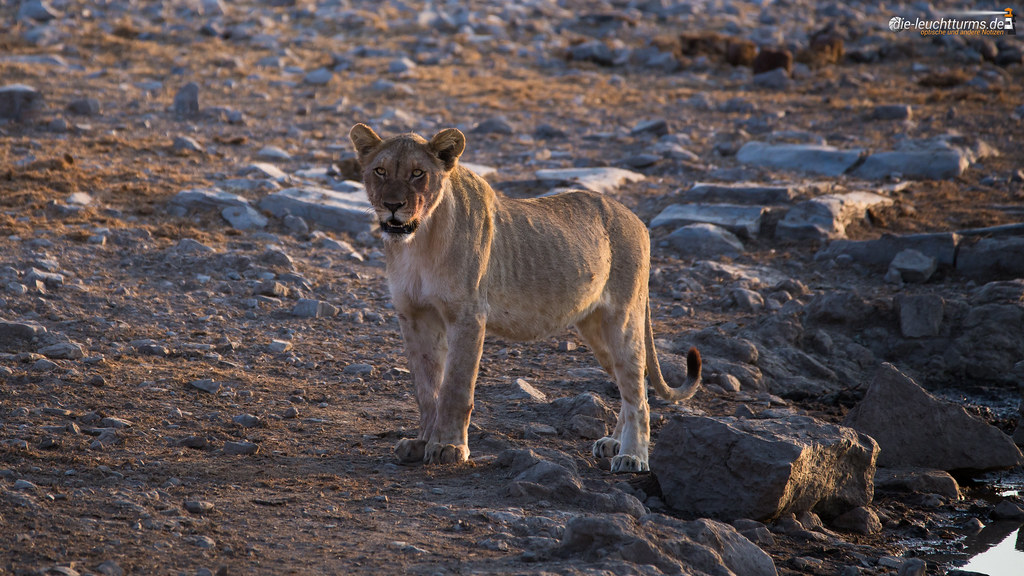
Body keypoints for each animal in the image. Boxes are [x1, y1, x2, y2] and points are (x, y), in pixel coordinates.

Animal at [349, 123, 702, 473]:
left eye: (417, 173)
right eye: (380, 171)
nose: (392, 205)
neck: (418, 241)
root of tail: (636, 219)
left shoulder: (468, 315)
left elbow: (455, 388)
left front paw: (449, 446)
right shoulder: (414, 315)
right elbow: (426, 389)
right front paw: (421, 442)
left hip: (624, 318)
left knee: (638, 394)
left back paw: (632, 456)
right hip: (595, 329)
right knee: (634, 386)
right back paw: (613, 442)